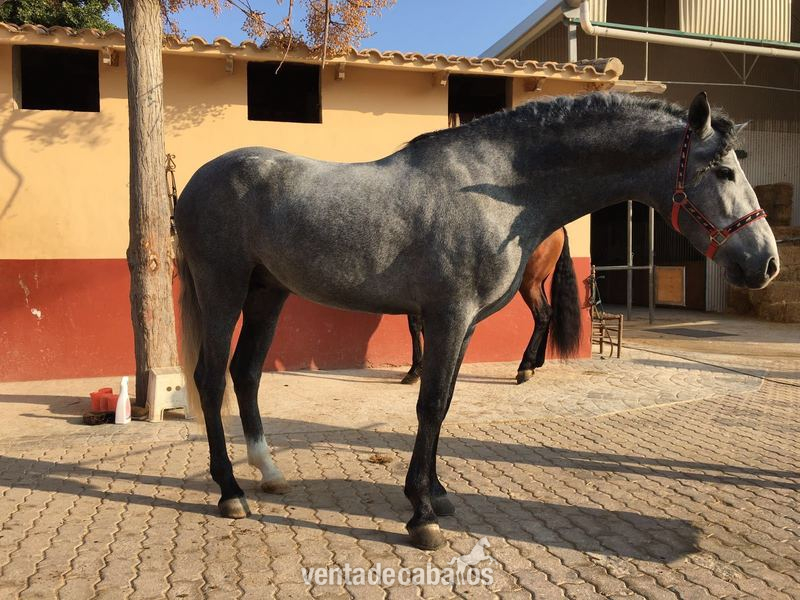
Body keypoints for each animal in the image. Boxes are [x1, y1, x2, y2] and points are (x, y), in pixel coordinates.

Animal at [400, 227, 581, 386]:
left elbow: (415, 326)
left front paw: (416, 370)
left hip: (530, 283)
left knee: (543, 314)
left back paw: (525, 367)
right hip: (538, 283)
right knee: (547, 314)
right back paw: (535, 363)